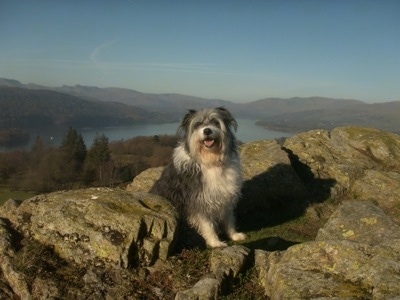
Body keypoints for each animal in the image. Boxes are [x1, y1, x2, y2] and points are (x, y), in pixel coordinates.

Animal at [149, 106, 245, 247]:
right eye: (198, 124)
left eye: (215, 122)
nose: (207, 130)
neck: (209, 160)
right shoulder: (198, 200)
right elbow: (207, 225)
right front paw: (215, 242)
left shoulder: (225, 195)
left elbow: (228, 219)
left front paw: (234, 235)